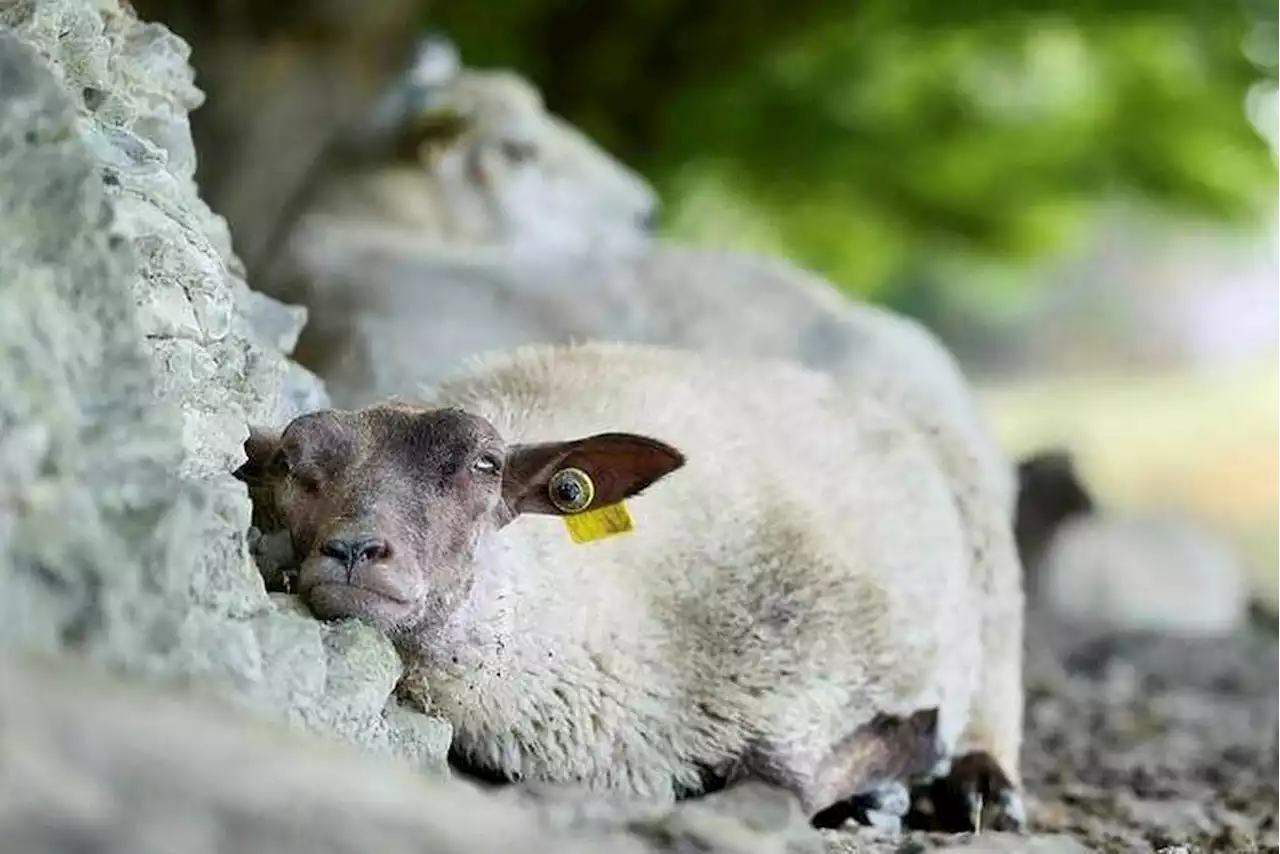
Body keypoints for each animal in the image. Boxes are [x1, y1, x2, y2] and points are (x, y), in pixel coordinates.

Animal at [232, 340, 1029, 834]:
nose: (354, 551)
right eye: (289, 468)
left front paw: (897, 769)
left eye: (486, 464)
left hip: (992, 588)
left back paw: (980, 786)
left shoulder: (808, 682)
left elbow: (787, 784)